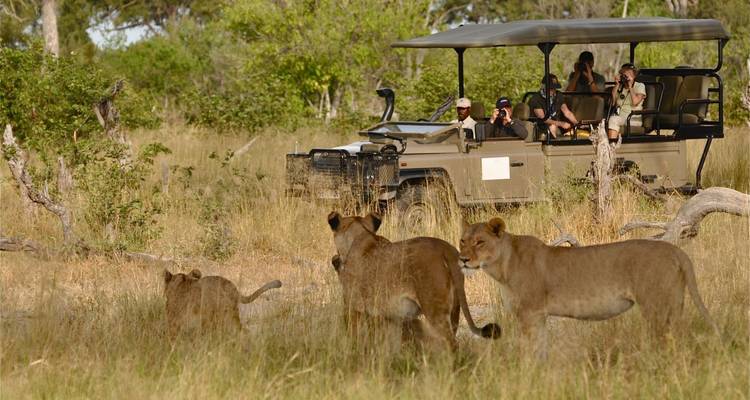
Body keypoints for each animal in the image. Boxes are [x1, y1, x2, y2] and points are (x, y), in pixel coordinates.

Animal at [327, 211, 501, 351]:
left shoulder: (353, 307)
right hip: (455, 309)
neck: (359, 235)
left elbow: (354, 338)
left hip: (434, 307)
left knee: (451, 343)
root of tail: (445, 248)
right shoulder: (393, 316)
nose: (334, 259)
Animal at [459, 217, 719, 353]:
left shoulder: (529, 313)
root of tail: (675, 250)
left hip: (656, 306)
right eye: (462, 241)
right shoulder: (538, 315)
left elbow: (529, 349)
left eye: (480, 242)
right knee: (678, 335)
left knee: (665, 338)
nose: (462, 259)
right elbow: (541, 348)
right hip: (675, 303)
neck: (501, 267)